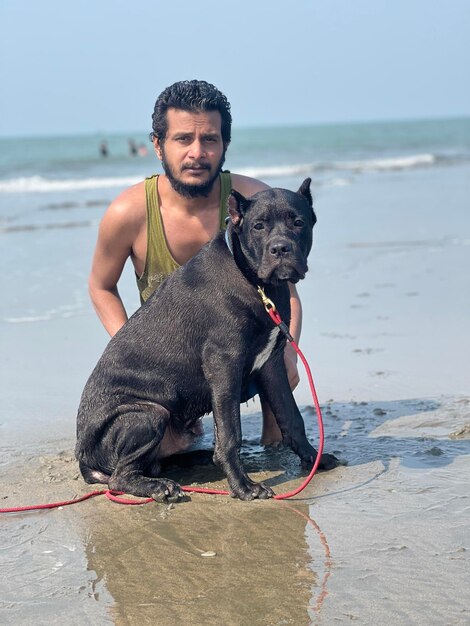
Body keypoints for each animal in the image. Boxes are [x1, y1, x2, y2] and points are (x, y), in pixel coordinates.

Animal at [74, 178, 338, 500]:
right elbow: (230, 432)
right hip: (148, 413)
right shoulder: (224, 364)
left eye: (298, 222)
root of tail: (83, 458)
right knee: (120, 476)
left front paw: (314, 459)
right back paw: (160, 487)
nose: (280, 248)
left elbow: (292, 417)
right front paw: (243, 486)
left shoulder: (272, 364)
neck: (255, 281)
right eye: (258, 226)